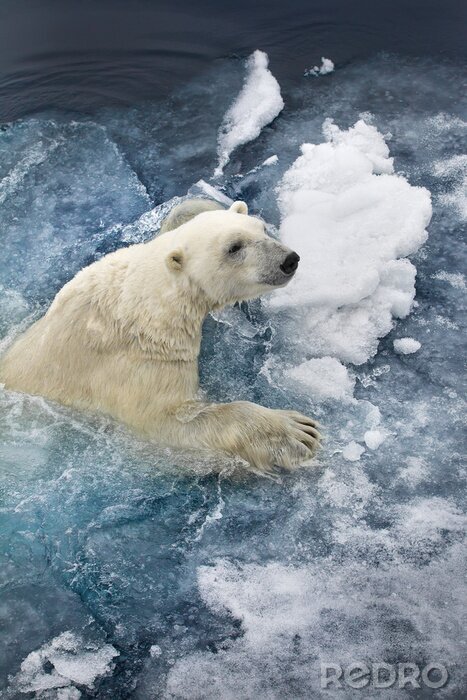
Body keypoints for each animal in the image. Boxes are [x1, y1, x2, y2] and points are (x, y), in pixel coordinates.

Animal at [0, 200, 320, 470]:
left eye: (261, 228)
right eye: (234, 247)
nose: (289, 260)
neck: (138, 301)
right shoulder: (136, 363)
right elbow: (170, 422)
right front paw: (294, 432)